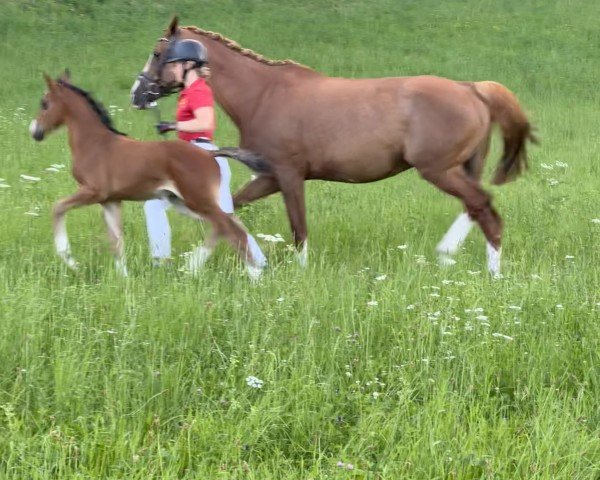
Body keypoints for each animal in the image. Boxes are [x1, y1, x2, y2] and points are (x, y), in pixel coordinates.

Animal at [30, 73, 270, 280]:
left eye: (45, 103)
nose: (35, 131)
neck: (95, 143)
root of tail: (210, 154)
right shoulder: (110, 200)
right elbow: (116, 241)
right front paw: (123, 279)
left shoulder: (92, 192)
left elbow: (58, 208)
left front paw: (69, 260)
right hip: (184, 203)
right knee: (226, 226)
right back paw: (196, 267)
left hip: (197, 200)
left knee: (230, 229)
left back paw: (252, 276)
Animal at [131, 17, 536, 274]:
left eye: (157, 52)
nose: (137, 94)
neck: (264, 95)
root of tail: (472, 89)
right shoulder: (269, 176)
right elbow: (231, 210)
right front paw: (193, 263)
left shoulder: (289, 174)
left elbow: (298, 228)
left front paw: (301, 272)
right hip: (461, 168)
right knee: (476, 208)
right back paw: (448, 255)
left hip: (438, 170)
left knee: (485, 210)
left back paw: (489, 272)